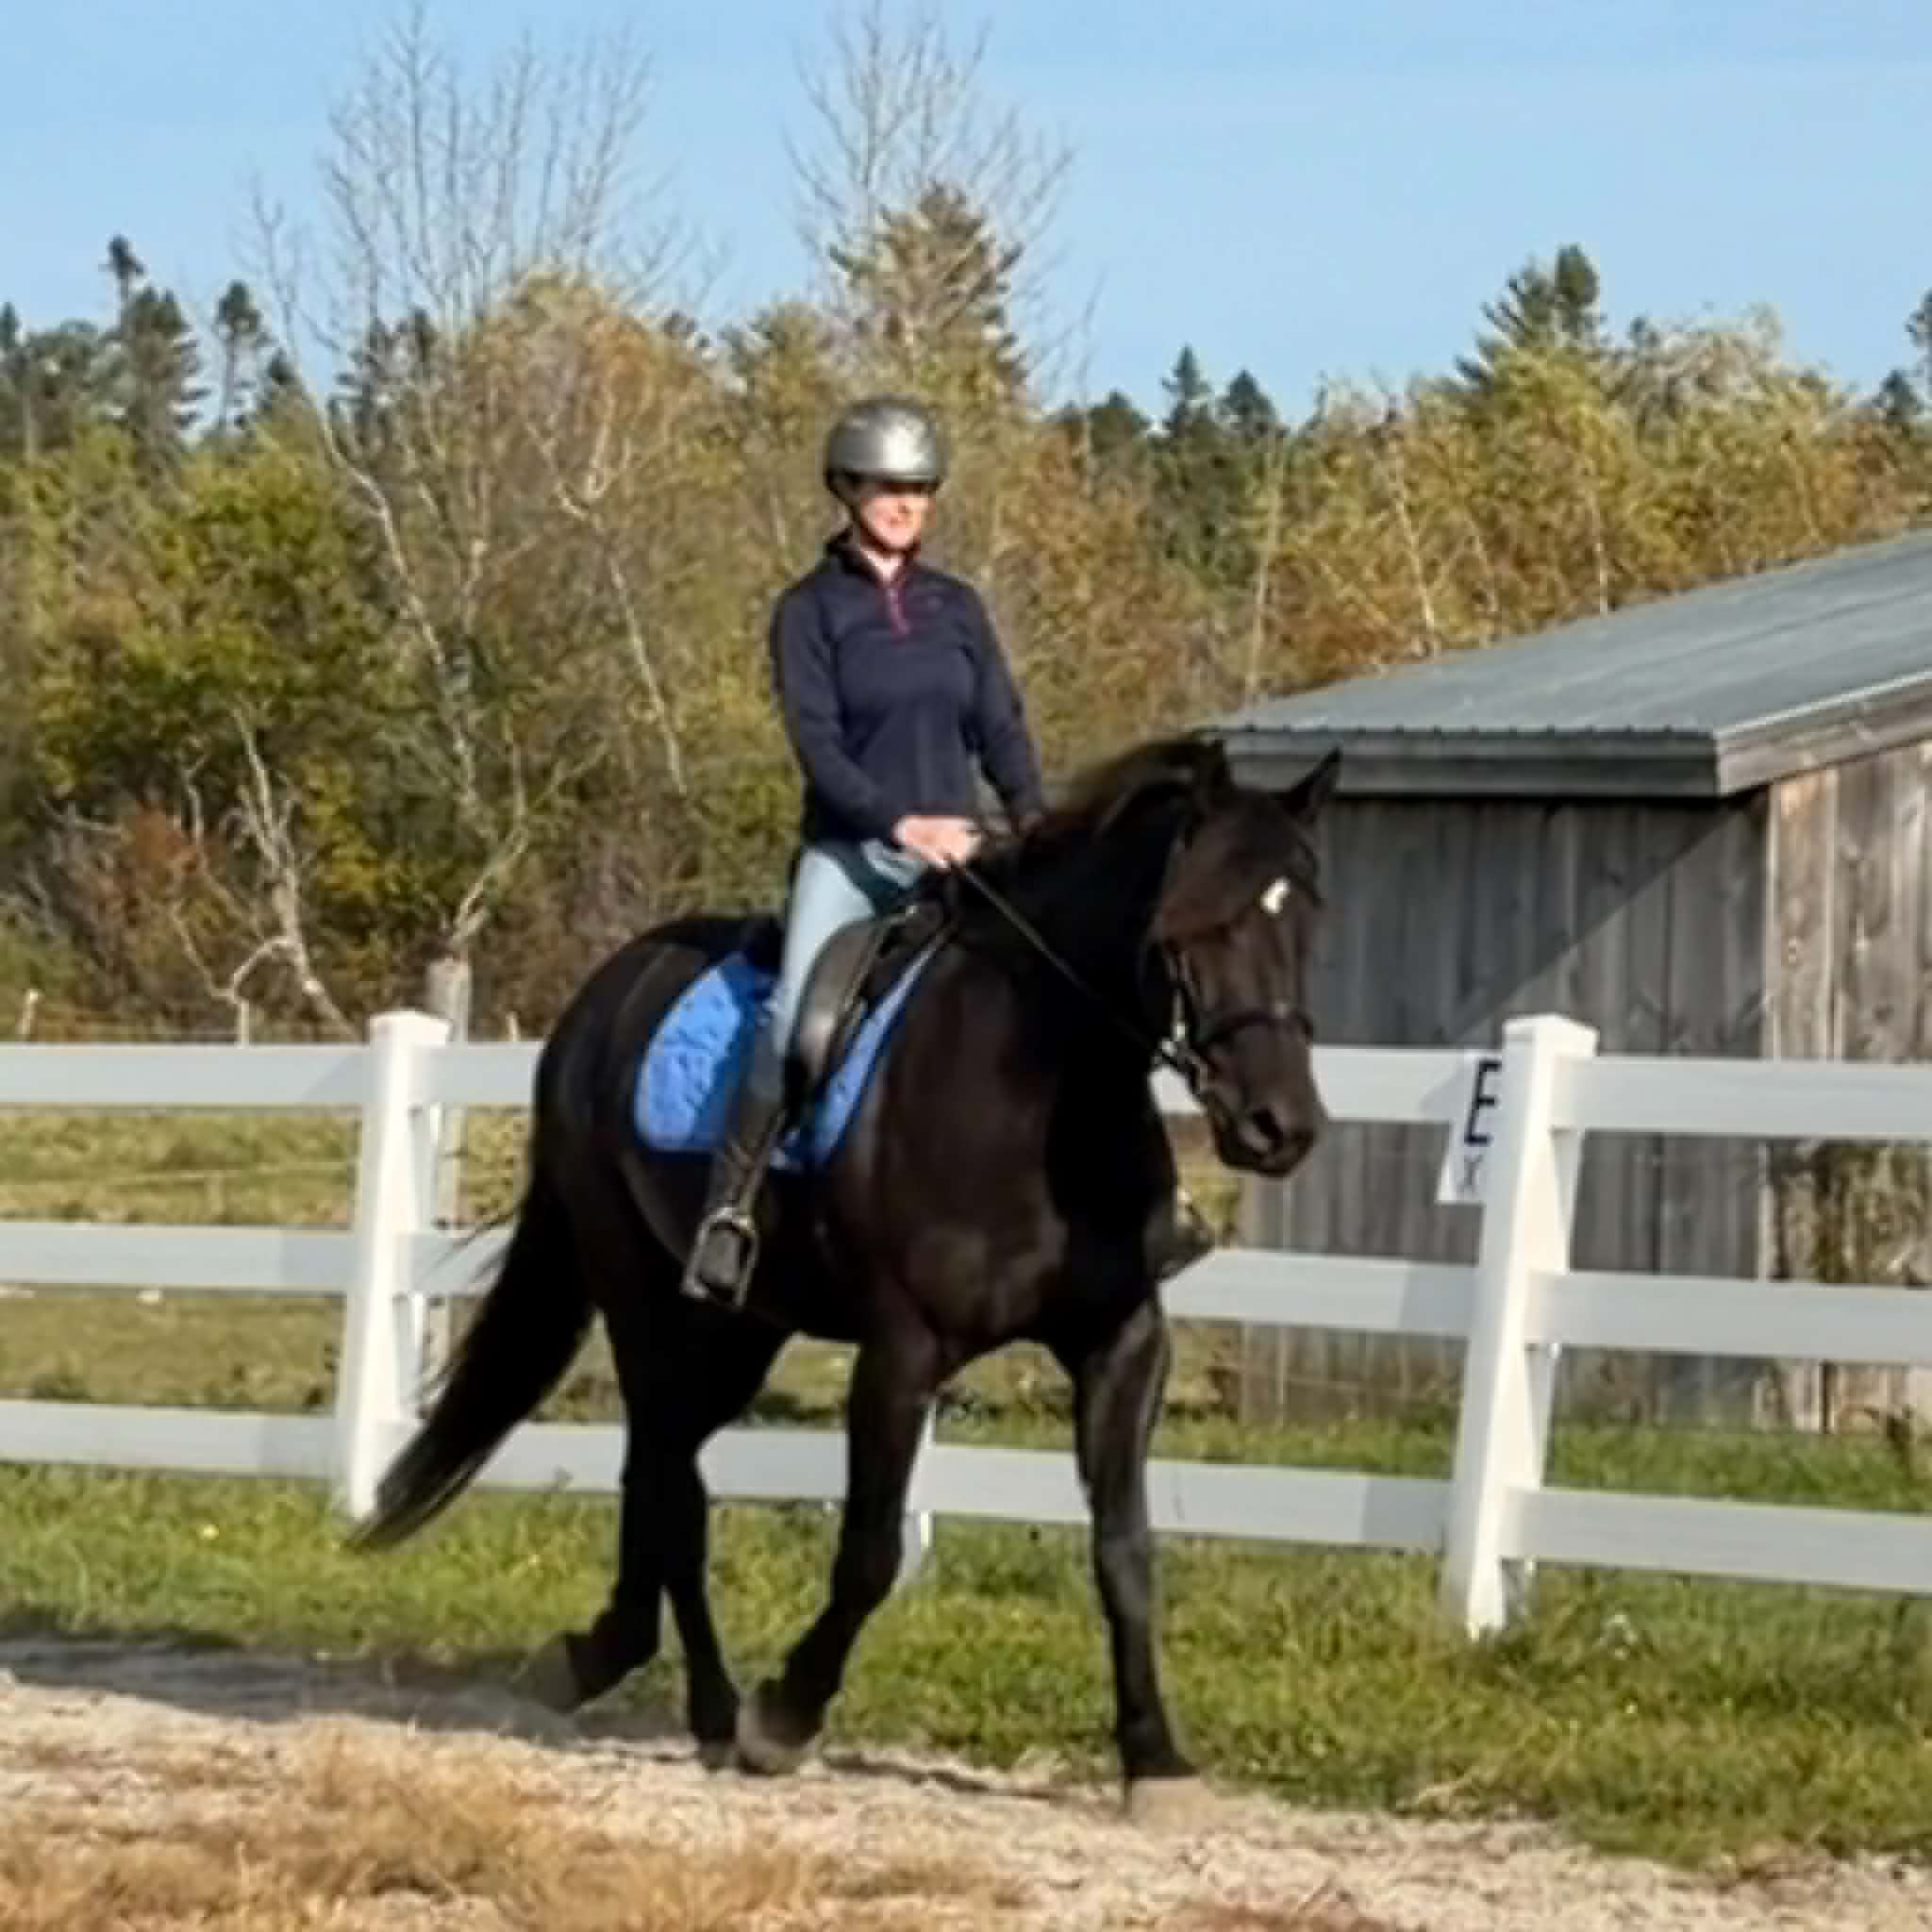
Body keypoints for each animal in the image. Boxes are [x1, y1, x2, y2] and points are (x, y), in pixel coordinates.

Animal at [354, 731, 1340, 1824]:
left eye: (1307, 914)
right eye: (1188, 924)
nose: (1278, 1127)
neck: (1039, 1092)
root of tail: (601, 999)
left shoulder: (1121, 1340)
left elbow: (1124, 1551)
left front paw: (1156, 1759)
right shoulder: (903, 1349)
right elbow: (870, 1549)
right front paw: (786, 1715)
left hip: (739, 1330)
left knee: (658, 1473)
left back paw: (619, 1662)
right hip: (643, 1296)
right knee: (671, 1487)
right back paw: (705, 1701)